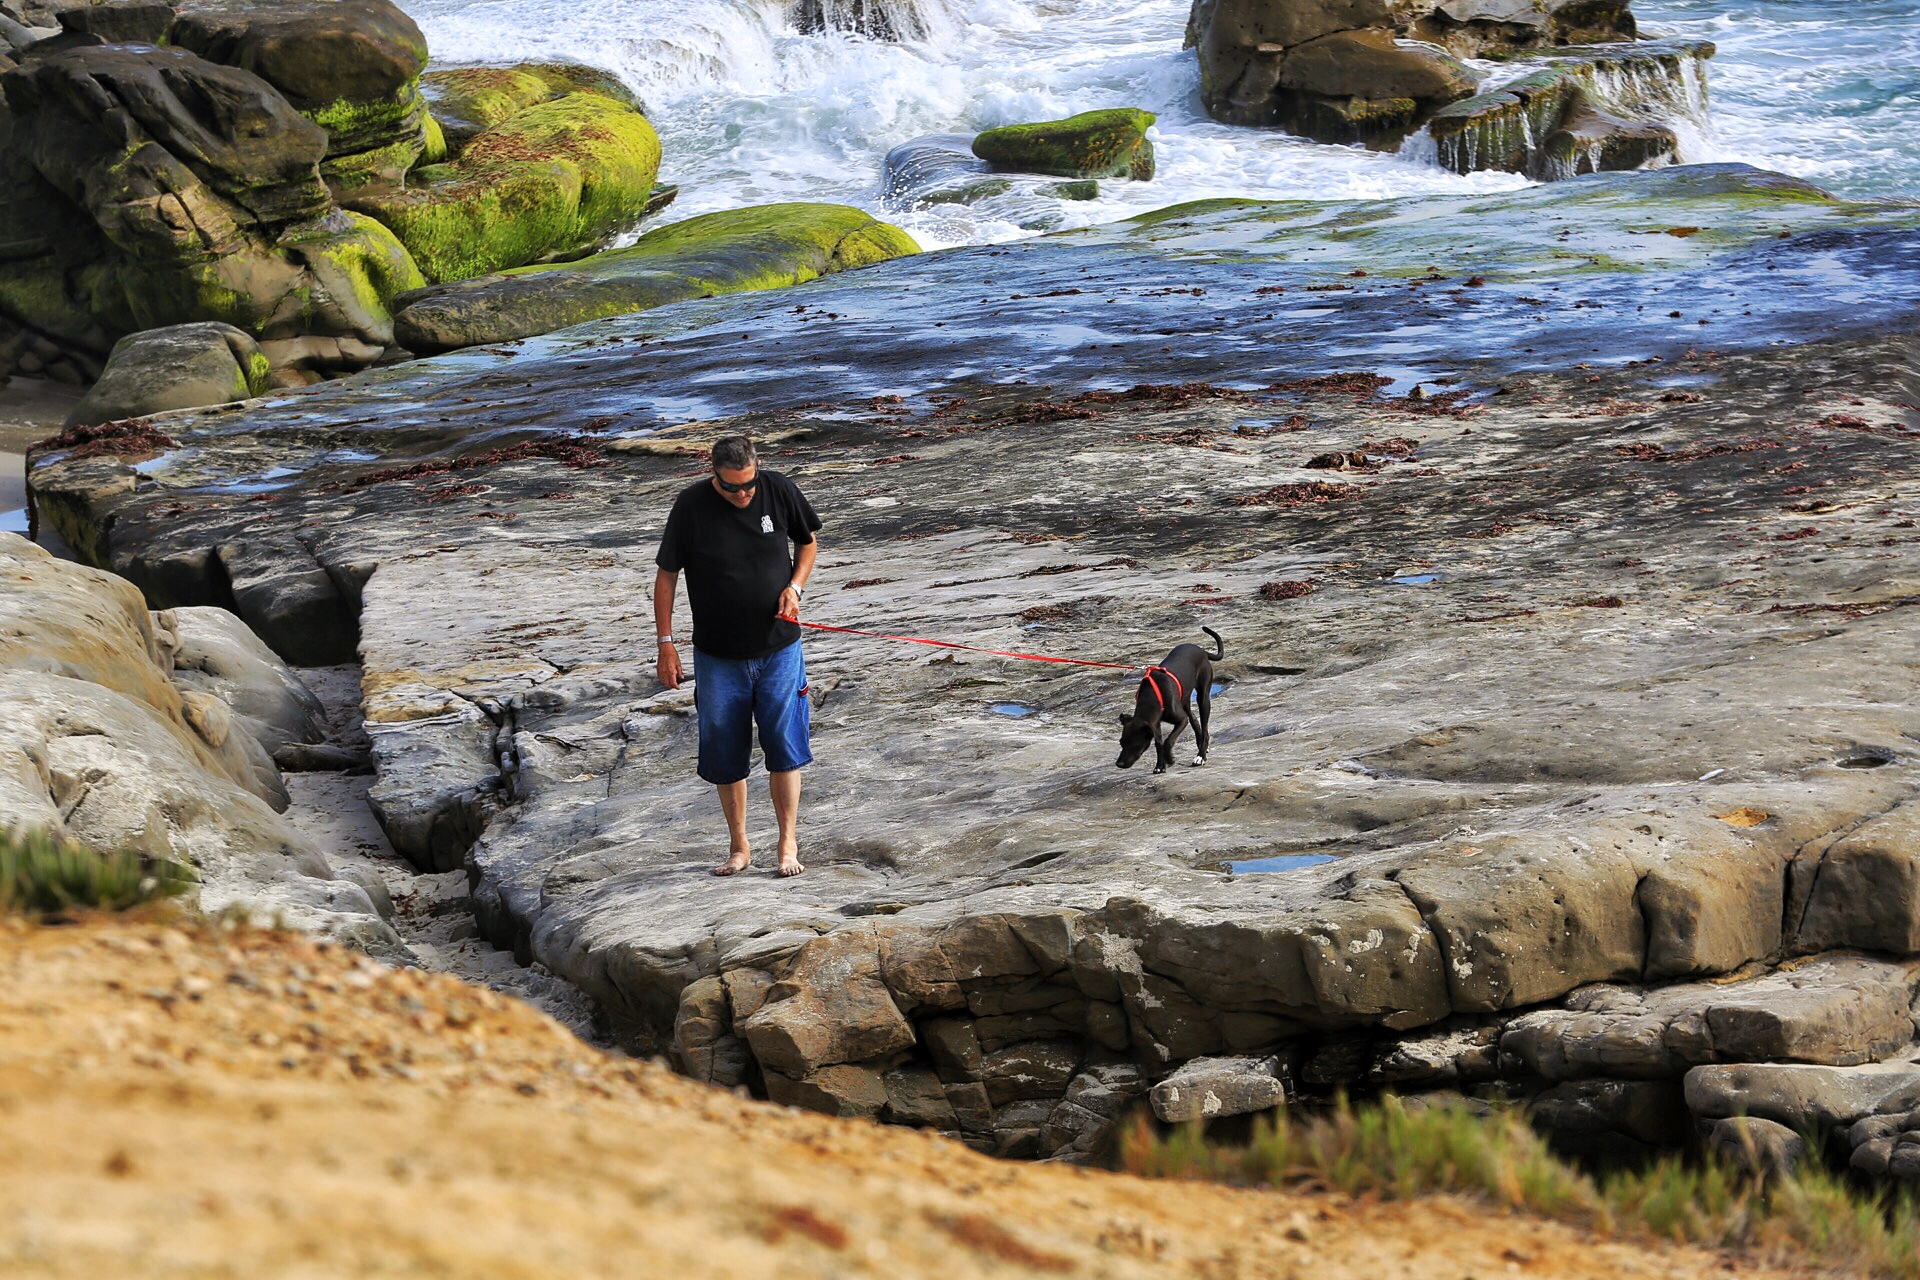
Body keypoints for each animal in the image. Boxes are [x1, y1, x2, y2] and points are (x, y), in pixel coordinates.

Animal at [1121, 629, 1221, 771]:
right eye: (1121, 743)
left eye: (1135, 745)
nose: (1119, 764)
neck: (1151, 696)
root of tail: (1201, 650)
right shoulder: (1155, 724)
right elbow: (1158, 744)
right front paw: (1159, 766)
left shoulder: (1181, 720)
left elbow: (1168, 741)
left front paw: (1169, 759)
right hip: (1184, 700)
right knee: (1194, 719)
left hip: (1203, 697)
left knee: (1205, 727)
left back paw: (1200, 756)